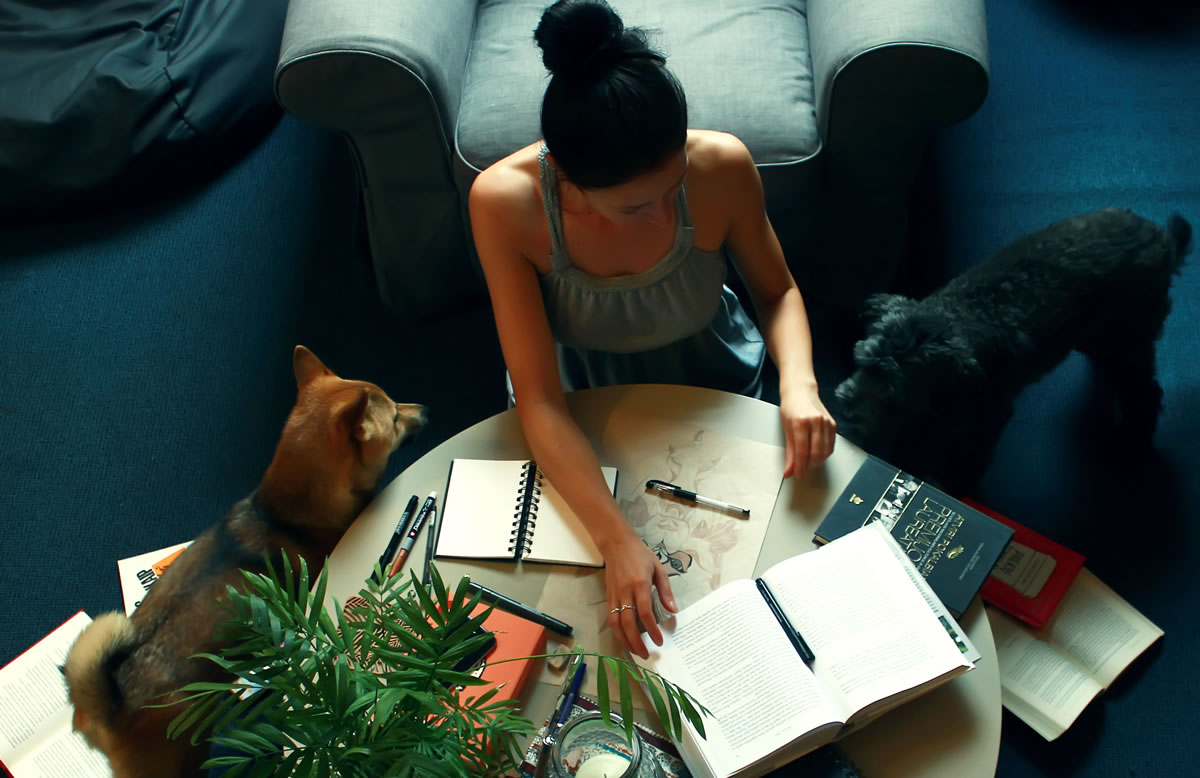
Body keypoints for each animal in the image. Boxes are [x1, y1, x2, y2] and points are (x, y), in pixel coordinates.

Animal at [835, 207, 1190, 492]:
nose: (844, 403)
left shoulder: (988, 419)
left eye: (892, 390)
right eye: (861, 361)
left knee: (1145, 393)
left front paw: (953, 483)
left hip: (1126, 337)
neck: (960, 318)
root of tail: (1163, 239)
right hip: (1100, 336)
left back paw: (1132, 444)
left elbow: (966, 455)